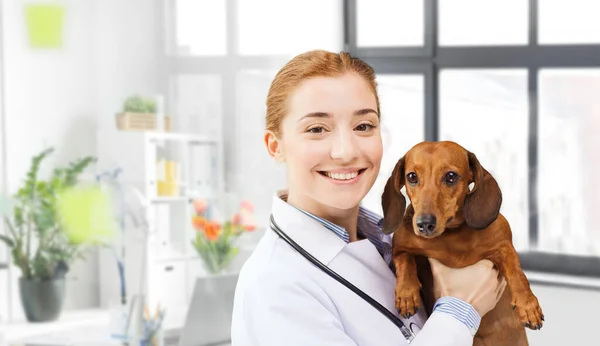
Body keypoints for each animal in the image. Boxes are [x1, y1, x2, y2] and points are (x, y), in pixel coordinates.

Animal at [384, 141, 544, 346]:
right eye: (411, 176)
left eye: (451, 176)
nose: (424, 224)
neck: (451, 234)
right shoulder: (401, 248)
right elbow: (406, 262)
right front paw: (406, 294)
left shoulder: (504, 246)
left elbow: (516, 272)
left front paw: (528, 305)